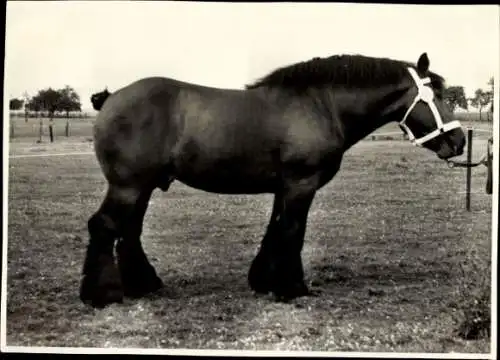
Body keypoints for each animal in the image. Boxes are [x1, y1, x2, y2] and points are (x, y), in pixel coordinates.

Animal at [80, 52, 466, 308]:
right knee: (104, 226)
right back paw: (102, 294)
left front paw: (264, 280)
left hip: (142, 186)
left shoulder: (284, 187)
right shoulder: (301, 184)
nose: (459, 140)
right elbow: (293, 230)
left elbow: (276, 229)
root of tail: (112, 98)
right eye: (435, 96)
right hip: (128, 185)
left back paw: (143, 284)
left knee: (129, 230)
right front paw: (291, 286)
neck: (320, 105)